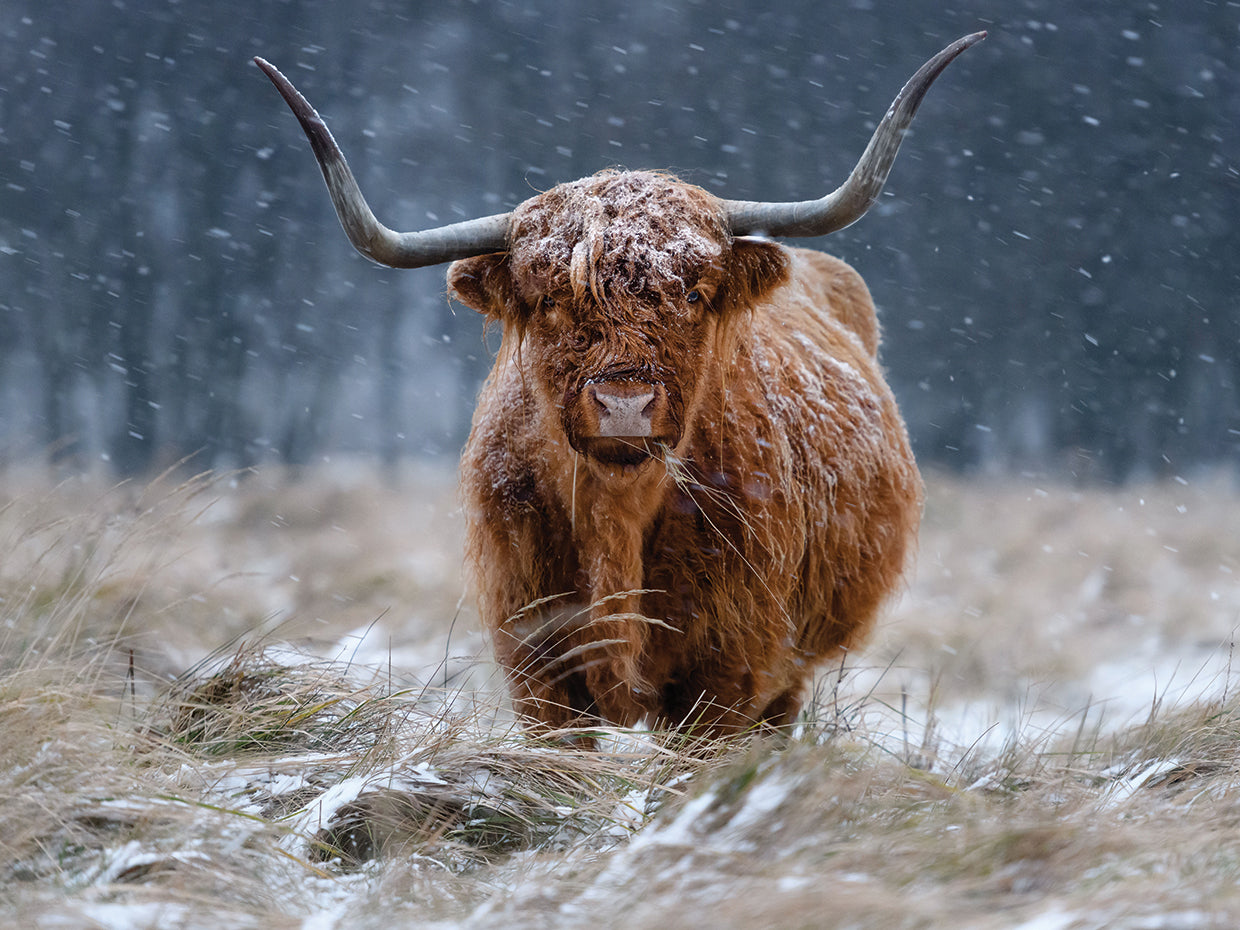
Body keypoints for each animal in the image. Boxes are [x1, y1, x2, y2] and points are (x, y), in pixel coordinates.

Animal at [256, 32, 984, 739]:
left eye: (693, 294)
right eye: (551, 300)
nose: (624, 405)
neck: (617, 516)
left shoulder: (729, 670)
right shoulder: (536, 663)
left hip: (791, 669)